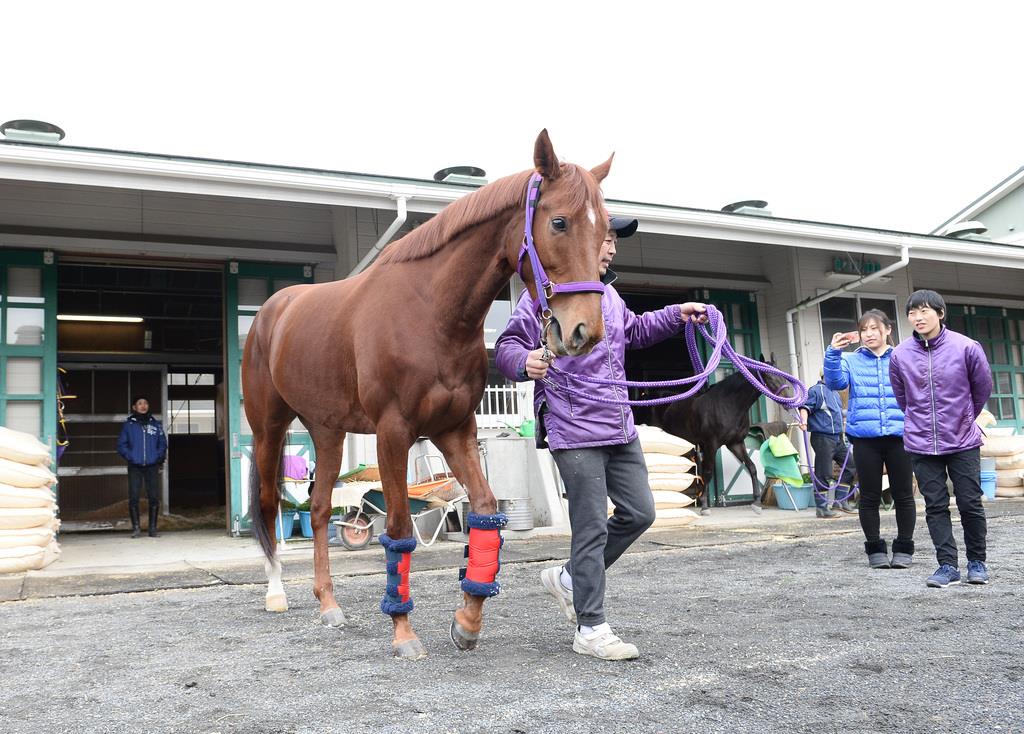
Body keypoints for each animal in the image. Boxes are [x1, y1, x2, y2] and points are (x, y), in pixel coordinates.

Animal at [243, 130, 610, 659]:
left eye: (605, 230)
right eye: (559, 221)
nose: (585, 331)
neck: (430, 311)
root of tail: (273, 312)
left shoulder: (455, 429)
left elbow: (484, 510)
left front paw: (467, 620)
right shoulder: (393, 432)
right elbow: (398, 528)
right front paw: (403, 631)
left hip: (327, 430)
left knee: (319, 507)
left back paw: (329, 603)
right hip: (269, 427)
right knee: (270, 503)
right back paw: (276, 592)